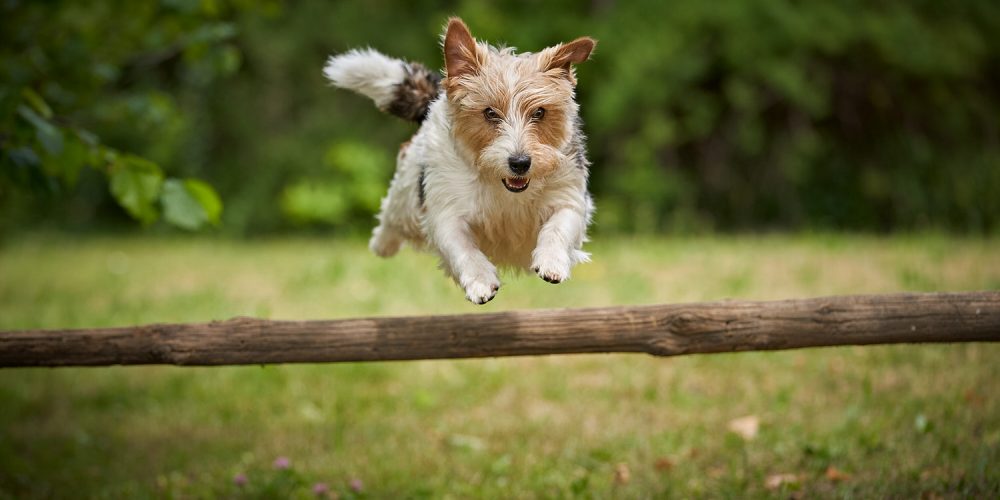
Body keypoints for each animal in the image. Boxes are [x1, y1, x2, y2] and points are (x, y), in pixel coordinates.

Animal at [326, 17, 592, 302]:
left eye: (539, 112)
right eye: (489, 113)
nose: (520, 163)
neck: (500, 185)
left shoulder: (568, 196)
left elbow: (557, 227)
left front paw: (552, 262)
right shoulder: (447, 211)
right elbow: (463, 249)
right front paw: (481, 281)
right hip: (407, 196)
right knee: (391, 215)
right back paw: (383, 244)